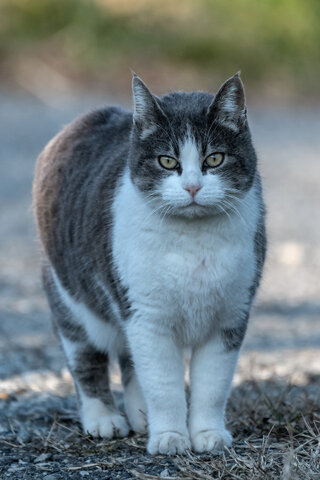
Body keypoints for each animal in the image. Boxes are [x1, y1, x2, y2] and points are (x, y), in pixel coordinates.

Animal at [33, 73, 268, 456]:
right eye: (167, 162)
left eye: (215, 158)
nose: (192, 186)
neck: (193, 243)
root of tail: (84, 120)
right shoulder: (146, 317)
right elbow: (164, 385)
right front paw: (170, 437)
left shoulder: (230, 317)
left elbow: (212, 385)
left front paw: (207, 434)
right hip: (69, 299)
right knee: (86, 361)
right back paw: (105, 419)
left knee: (130, 362)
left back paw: (141, 416)